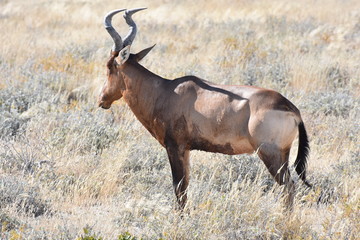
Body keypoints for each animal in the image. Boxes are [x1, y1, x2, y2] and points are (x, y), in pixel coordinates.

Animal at [99, 7, 312, 210]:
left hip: (270, 154)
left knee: (288, 186)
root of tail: (292, 109)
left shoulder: (174, 147)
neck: (166, 91)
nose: (102, 99)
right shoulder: (186, 149)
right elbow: (185, 187)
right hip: (283, 154)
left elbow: (178, 187)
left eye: (109, 66)